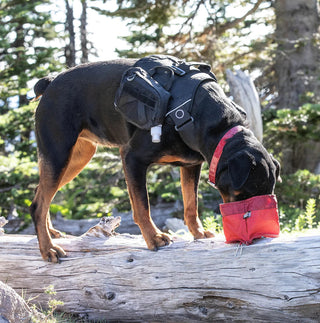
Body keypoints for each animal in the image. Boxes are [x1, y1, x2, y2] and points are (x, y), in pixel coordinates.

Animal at [30, 57, 280, 262]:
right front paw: (154, 238)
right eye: (244, 194)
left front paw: (198, 233)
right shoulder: (132, 158)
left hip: (78, 156)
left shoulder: (191, 165)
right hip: (59, 153)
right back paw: (48, 249)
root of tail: (50, 82)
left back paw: (51, 233)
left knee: (42, 193)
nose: (255, 235)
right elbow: (142, 206)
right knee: (37, 205)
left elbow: (191, 205)